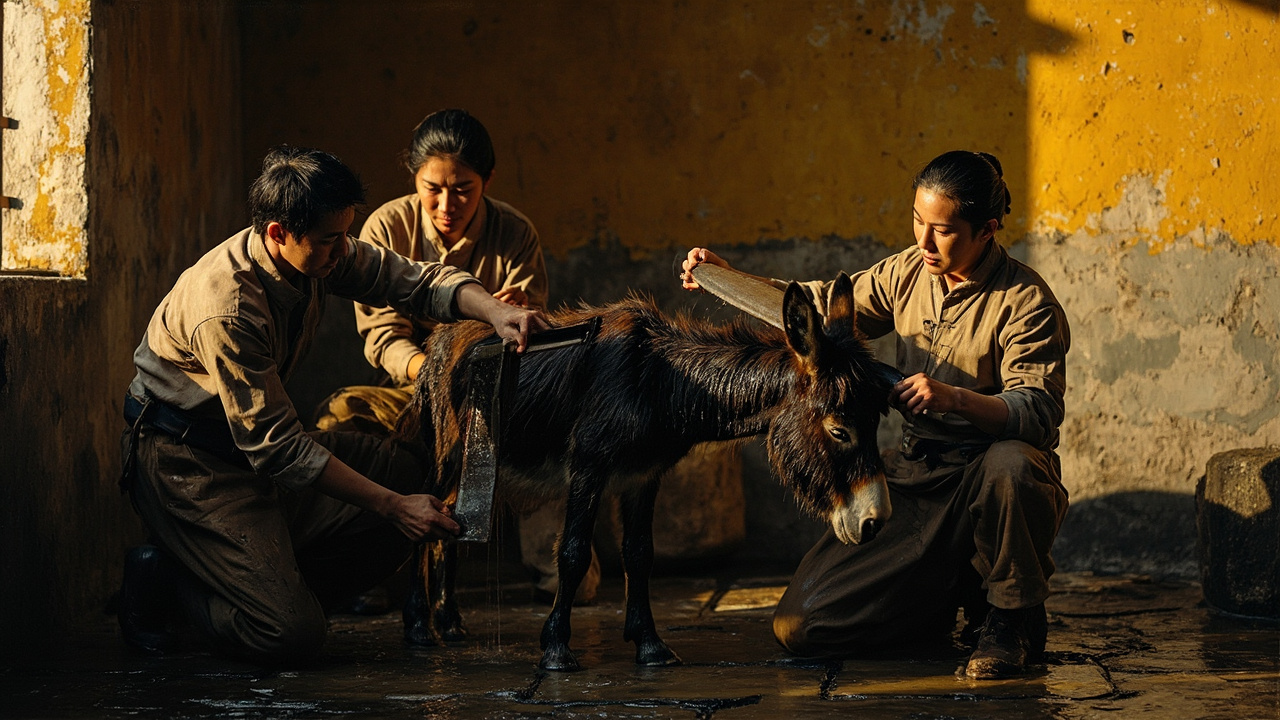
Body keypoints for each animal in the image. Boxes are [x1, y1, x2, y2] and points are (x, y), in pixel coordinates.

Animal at [397, 273, 895, 671]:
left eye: (876, 421)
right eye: (839, 429)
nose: (875, 522)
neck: (659, 381)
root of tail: (440, 337)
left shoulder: (642, 476)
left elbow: (640, 554)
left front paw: (650, 645)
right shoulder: (588, 466)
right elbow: (573, 553)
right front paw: (556, 649)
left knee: (449, 525)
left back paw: (450, 622)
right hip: (450, 457)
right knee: (423, 517)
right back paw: (420, 626)